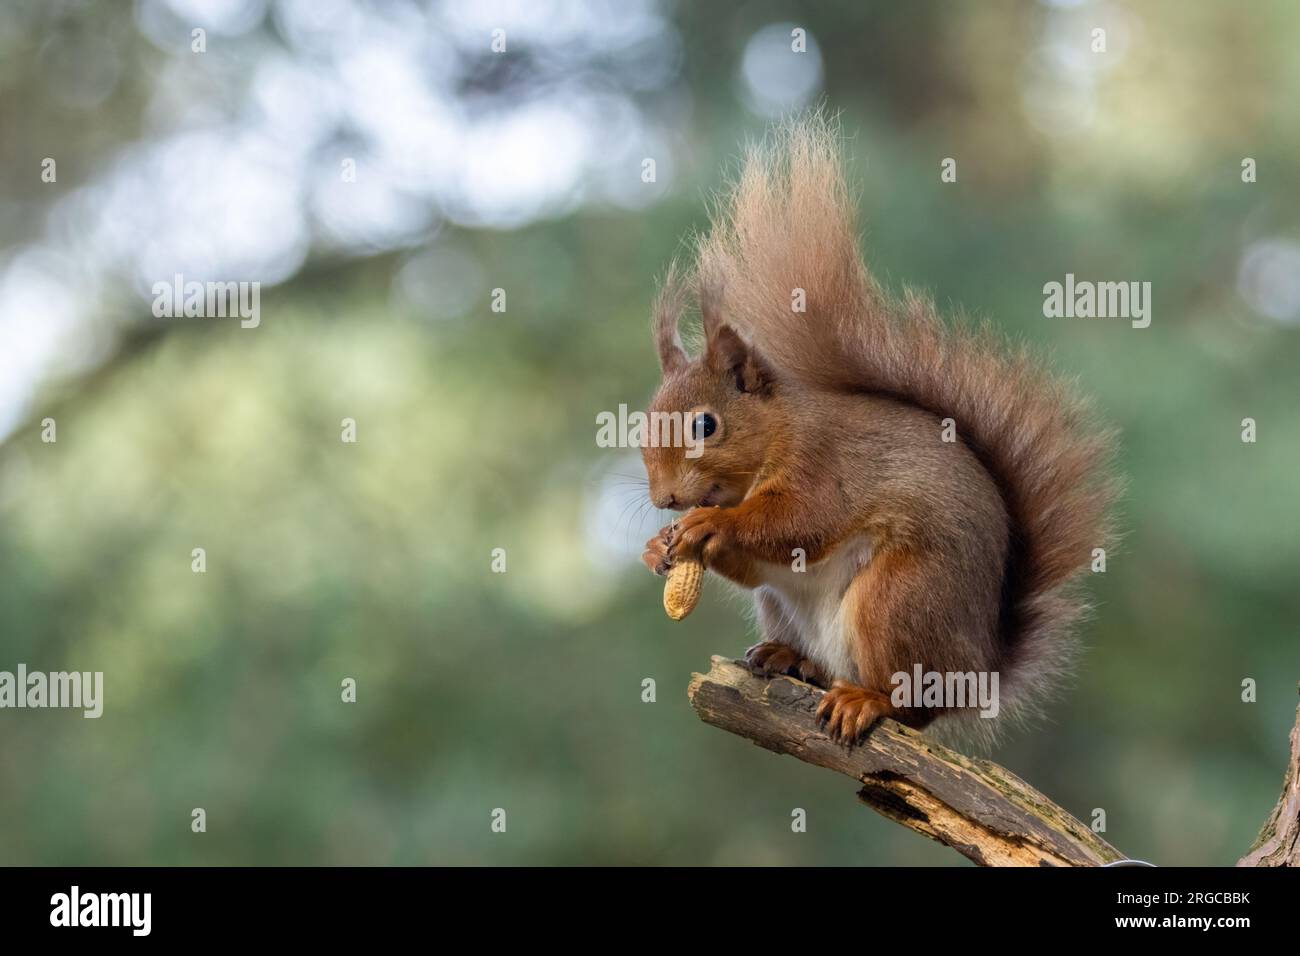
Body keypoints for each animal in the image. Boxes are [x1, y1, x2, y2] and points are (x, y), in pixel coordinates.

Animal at [639, 117, 1118, 749]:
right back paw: (794, 660)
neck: (778, 432)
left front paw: (709, 525)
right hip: (788, 607)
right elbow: (755, 563)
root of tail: (978, 669)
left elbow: (799, 522)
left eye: (705, 424)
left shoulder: (823, 464)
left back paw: (867, 700)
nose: (665, 499)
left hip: (900, 598)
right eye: (642, 424)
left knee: (914, 706)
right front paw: (658, 547)